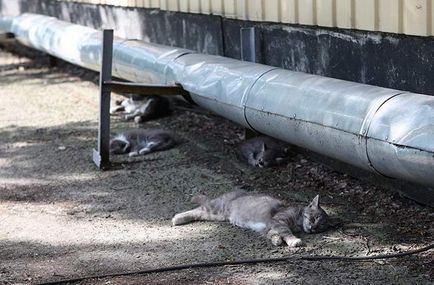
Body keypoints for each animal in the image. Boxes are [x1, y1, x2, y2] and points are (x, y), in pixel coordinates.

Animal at [173, 190, 328, 247]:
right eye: (314, 218)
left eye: (321, 227)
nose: (313, 228)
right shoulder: (279, 221)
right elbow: (286, 232)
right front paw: (293, 240)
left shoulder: (270, 226)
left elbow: (273, 234)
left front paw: (276, 240)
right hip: (215, 208)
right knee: (198, 209)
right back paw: (177, 218)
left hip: (217, 215)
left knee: (199, 212)